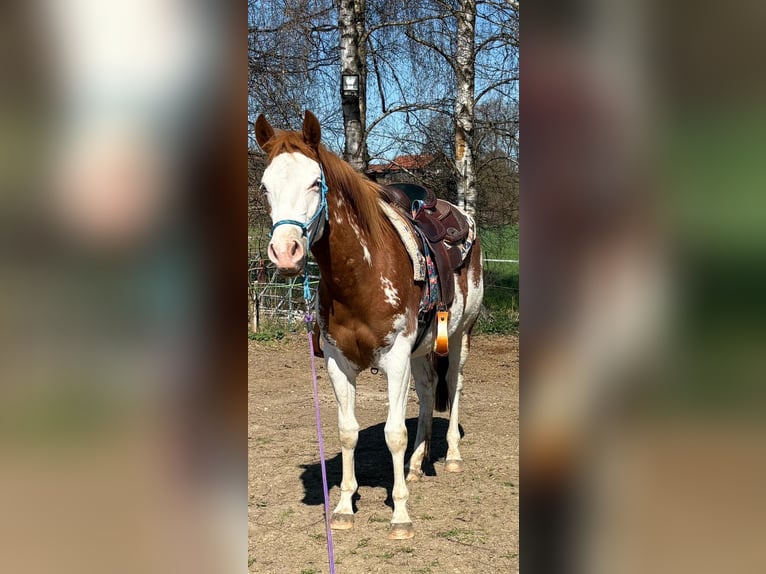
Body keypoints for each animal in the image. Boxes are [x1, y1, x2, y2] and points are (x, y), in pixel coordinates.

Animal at [254, 110, 484, 540]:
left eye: (315, 182)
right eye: (264, 187)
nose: (285, 252)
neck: (361, 274)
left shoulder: (395, 357)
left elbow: (394, 434)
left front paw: (400, 515)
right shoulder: (337, 362)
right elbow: (348, 431)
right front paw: (344, 506)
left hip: (460, 334)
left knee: (455, 385)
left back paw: (452, 456)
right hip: (422, 349)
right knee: (427, 391)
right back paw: (416, 465)